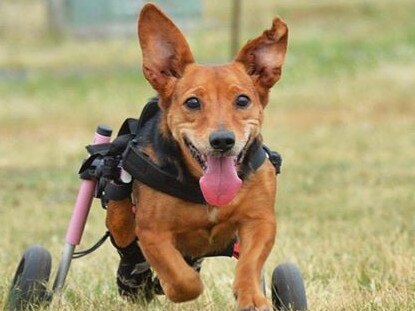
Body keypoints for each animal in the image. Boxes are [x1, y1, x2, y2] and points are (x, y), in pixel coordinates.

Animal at [107, 3, 290, 311]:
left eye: (242, 100)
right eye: (193, 102)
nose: (223, 141)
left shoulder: (260, 221)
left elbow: (249, 264)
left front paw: (251, 296)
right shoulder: (152, 232)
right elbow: (182, 280)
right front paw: (169, 286)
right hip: (118, 216)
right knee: (129, 253)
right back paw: (135, 281)